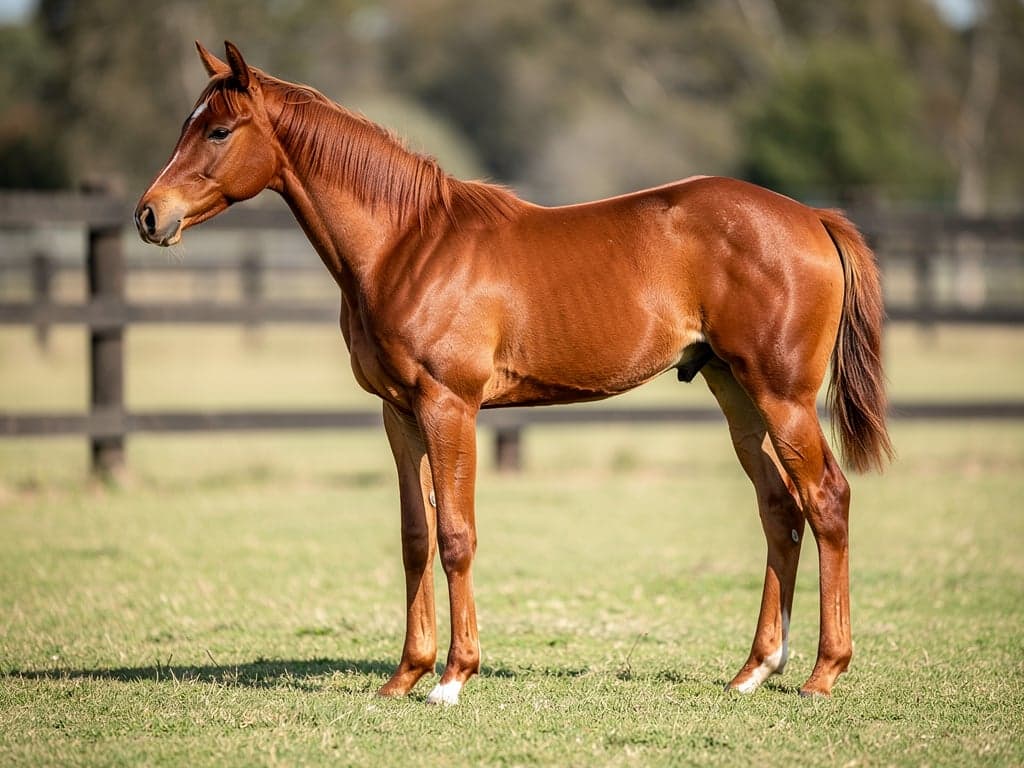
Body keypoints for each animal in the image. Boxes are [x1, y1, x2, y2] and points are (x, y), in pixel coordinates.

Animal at [135, 41, 892, 705]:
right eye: (185, 126)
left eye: (219, 130)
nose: (149, 216)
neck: (406, 244)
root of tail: (812, 216)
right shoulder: (398, 412)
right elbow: (415, 537)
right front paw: (404, 675)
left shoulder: (450, 406)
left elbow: (456, 537)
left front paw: (452, 678)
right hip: (736, 394)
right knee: (780, 509)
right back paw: (754, 670)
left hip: (783, 397)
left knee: (826, 500)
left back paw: (823, 673)